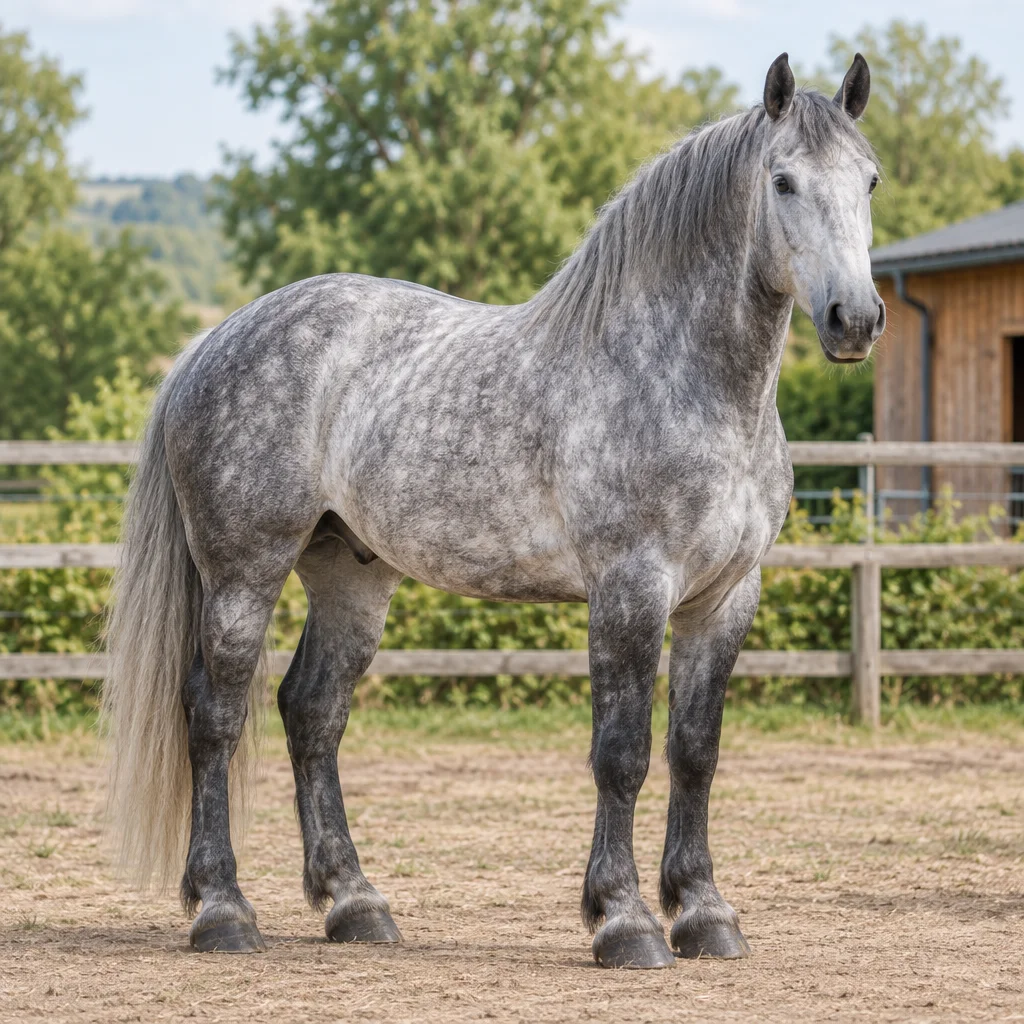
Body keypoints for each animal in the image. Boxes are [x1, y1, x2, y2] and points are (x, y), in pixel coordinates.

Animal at [102, 52, 883, 969]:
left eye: (869, 178)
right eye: (783, 181)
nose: (855, 318)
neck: (685, 377)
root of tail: (213, 339)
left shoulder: (726, 597)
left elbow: (696, 751)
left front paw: (703, 913)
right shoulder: (631, 588)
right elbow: (622, 752)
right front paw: (623, 920)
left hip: (351, 576)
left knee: (313, 712)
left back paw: (354, 902)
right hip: (243, 572)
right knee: (215, 715)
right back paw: (223, 910)